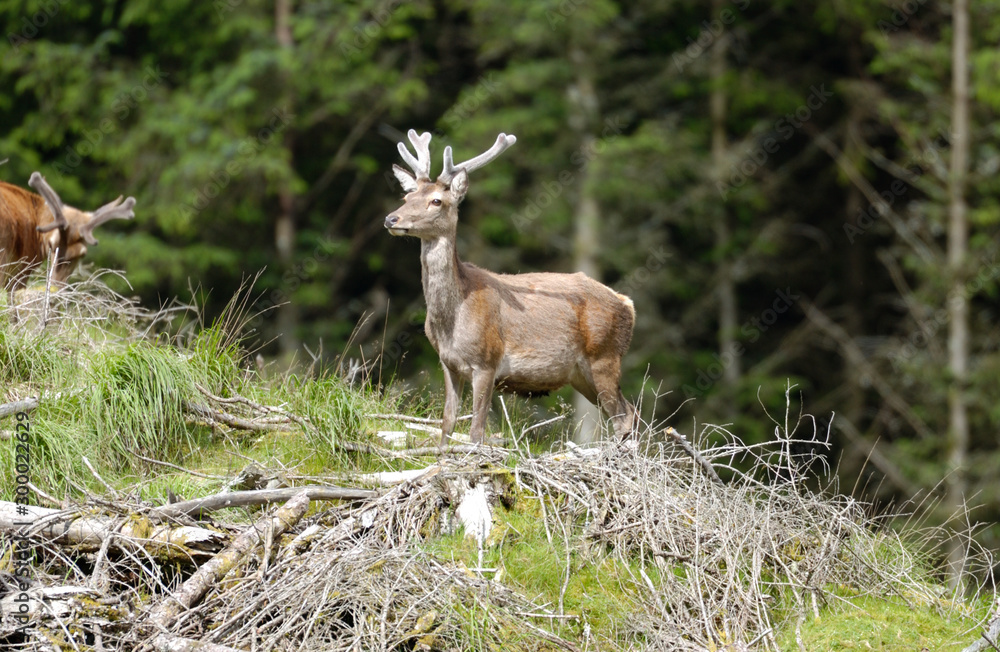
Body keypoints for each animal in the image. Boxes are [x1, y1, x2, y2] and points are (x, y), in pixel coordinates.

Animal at [384, 129, 638, 445]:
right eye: (406, 196)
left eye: (436, 201)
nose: (391, 218)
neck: (452, 318)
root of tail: (627, 303)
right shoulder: (447, 362)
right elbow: (447, 423)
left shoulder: (487, 361)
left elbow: (476, 431)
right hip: (581, 373)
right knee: (627, 411)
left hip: (605, 354)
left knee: (624, 416)